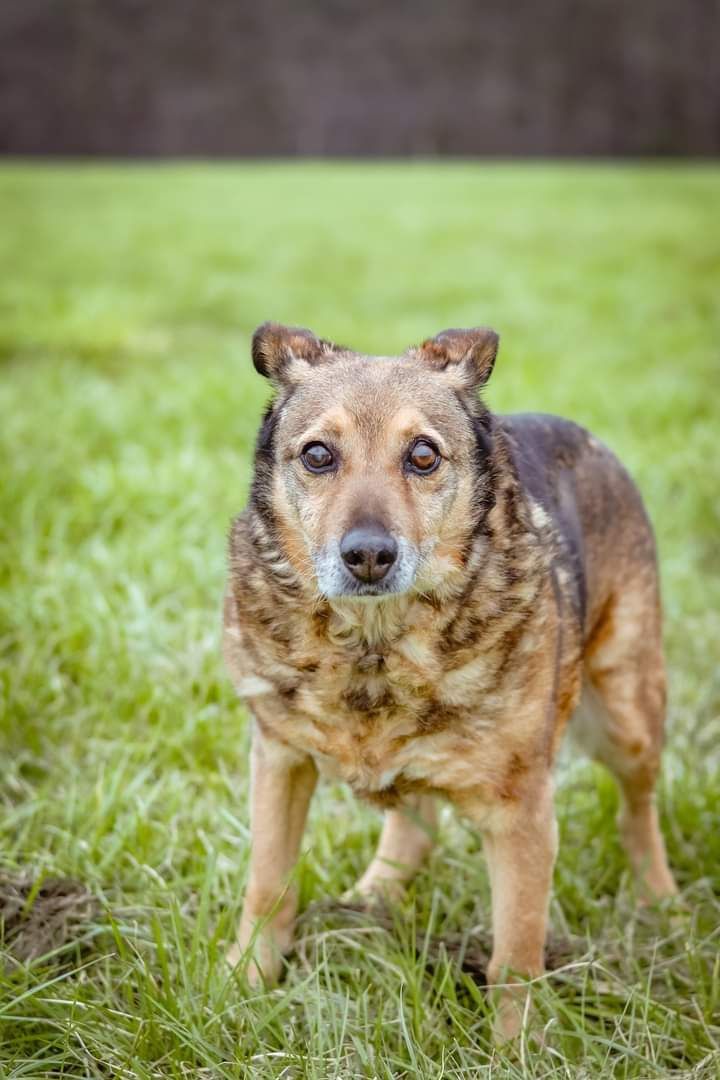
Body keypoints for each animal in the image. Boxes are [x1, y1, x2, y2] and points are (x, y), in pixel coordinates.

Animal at [222, 319, 677, 1036]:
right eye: (318, 455)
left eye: (423, 456)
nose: (369, 555)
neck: (375, 649)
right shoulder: (279, 757)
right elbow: (268, 884)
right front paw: (243, 988)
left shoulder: (521, 814)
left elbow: (515, 955)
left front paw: (515, 1049)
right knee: (416, 822)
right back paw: (373, 897)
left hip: (627, 712)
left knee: (638, 810)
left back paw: (662, 903)